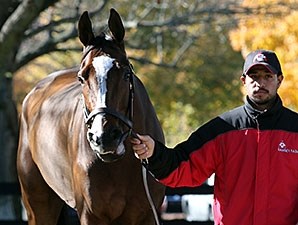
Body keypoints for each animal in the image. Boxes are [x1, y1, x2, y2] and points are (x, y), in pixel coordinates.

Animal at [16, 8, 165, 225]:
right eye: (81, 78)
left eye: (126, 74)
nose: (104, 137)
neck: (121, 165)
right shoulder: (90, 215)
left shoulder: (147, 216)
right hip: (37, 204)